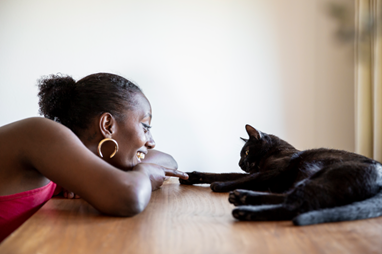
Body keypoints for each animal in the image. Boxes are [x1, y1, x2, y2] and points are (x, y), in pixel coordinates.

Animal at [181, 124, 382, 225]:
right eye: (241, 155)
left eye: (246, 152)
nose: (240, 163)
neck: (276, 152)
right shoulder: (259, 171)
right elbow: (223, 173)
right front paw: (192, 176)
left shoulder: (271, 171)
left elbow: (242, 178)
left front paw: (220, 186)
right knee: (289, 198)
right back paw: (244, 201)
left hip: (313, 169)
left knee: (295, 204)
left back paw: (244, 206)